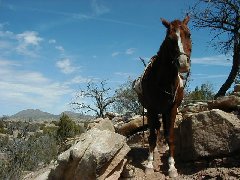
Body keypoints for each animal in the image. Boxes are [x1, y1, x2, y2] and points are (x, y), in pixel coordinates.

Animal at [132, 16, 192, 178]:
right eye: (170, 39)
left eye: (189, 35)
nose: (183, 63)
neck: (164, 81)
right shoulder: (152, 109)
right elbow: (152, 137)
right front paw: (149, 164)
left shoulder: (172, 109)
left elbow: (170, 136)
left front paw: (171, 167)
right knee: (156, 130)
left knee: (162, 130)